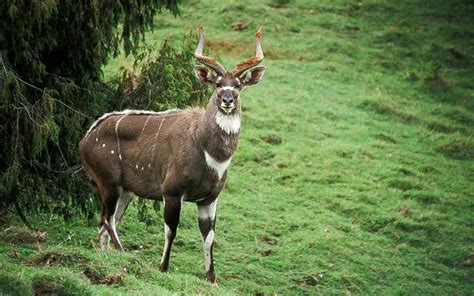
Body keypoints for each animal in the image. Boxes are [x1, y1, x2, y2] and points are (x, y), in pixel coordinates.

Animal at [77, 24, 262, 282]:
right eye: (217, 84)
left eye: (237, 85)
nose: (227, 100)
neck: (209, 153)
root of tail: (84, 139)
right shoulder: (172, 191)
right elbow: (170, 230)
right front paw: (163, 267)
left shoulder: (209, 199)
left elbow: (209, 237)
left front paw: (212, 278)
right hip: (108, 182)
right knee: (107, 219)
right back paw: (125, 254)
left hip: (126, 191)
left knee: (105, 222)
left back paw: (108, 258)